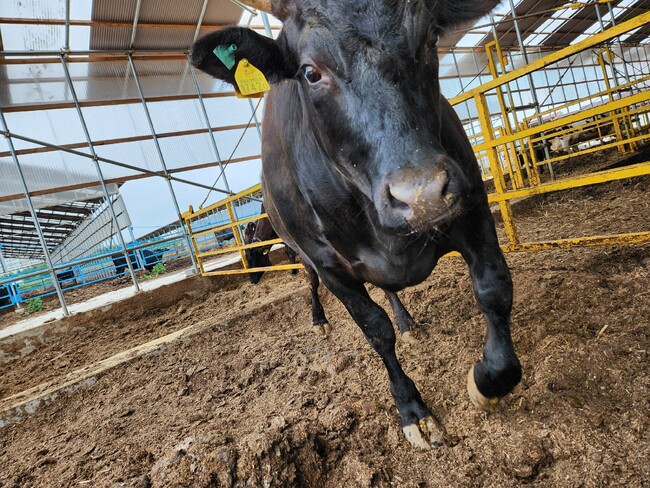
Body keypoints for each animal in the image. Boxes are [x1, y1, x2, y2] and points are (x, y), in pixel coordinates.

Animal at [190, 0, 520, 450]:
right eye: (310, 72)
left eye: (431, 37)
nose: (421, 195)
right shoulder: (331, 266)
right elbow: (375, 330)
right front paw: (412, 409)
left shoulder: (472, 208)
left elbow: (493, 290)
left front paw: (489, 381)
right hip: (305, 257)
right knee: (313, 286)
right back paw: (320, 320)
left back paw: (408, 321)